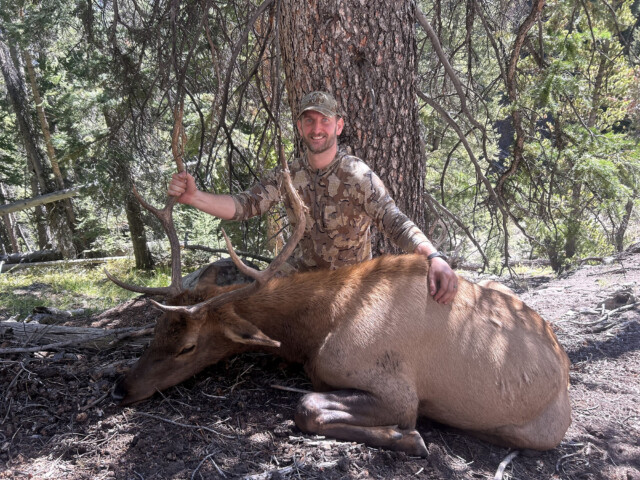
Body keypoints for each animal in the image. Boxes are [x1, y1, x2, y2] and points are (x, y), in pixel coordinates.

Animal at [107, 141, 571, 457]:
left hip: (535, 429)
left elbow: (307, 406)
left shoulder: (395, 388)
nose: (121, 386)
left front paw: (408, 437)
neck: (314, 331)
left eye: (187, 346)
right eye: (156, 331)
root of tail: (564, 366)